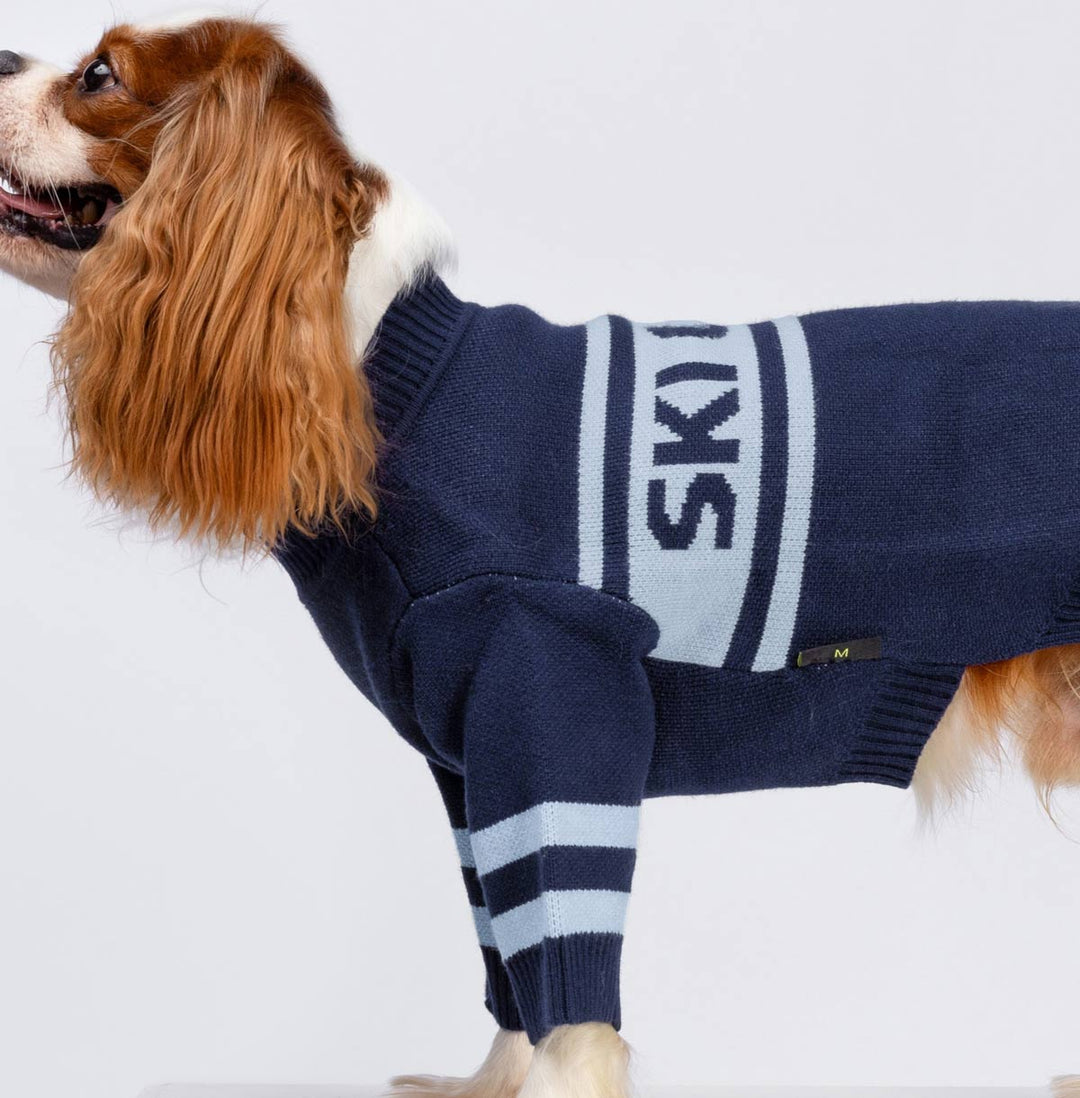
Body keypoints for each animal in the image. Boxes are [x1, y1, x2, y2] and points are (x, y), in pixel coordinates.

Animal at [3, 14, 1080, 1096]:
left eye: (100, 75)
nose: (7, 56)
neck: (382, 380)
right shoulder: (470, 766)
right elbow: (505, 968)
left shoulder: (548, 710)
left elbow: (565, 993)